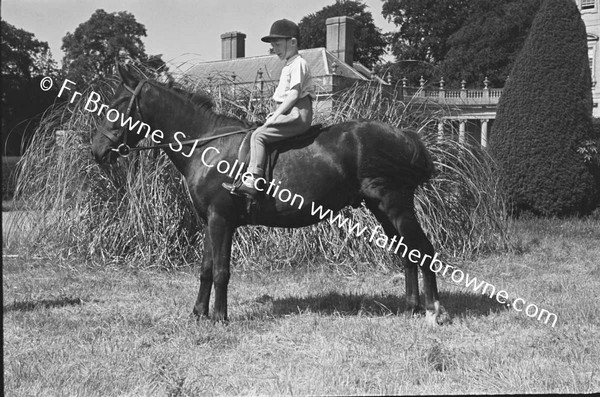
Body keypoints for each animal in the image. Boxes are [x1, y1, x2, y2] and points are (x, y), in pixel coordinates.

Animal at [91, 65, 442, 324]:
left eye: (117, 106)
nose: (97, 151)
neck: (206, 144)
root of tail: (405, 136)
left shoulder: (222, 220)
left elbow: (221, 270)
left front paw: (219, 317)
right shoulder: (210, 221)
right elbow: (205, 269)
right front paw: (198, 313)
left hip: (395, 205)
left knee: (424, 251)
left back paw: (434, 310)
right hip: (382, 208)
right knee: (408, 253)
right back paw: (412, 306)